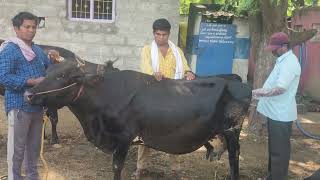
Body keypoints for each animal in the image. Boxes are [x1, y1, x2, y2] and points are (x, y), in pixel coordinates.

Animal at [24, 60, 250, 180]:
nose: (29, 94)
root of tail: (237, 82)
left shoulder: (123, 137)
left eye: (62, 76)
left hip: (233, 130)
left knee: (235, 156)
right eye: (46, 72)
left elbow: (117, 166)